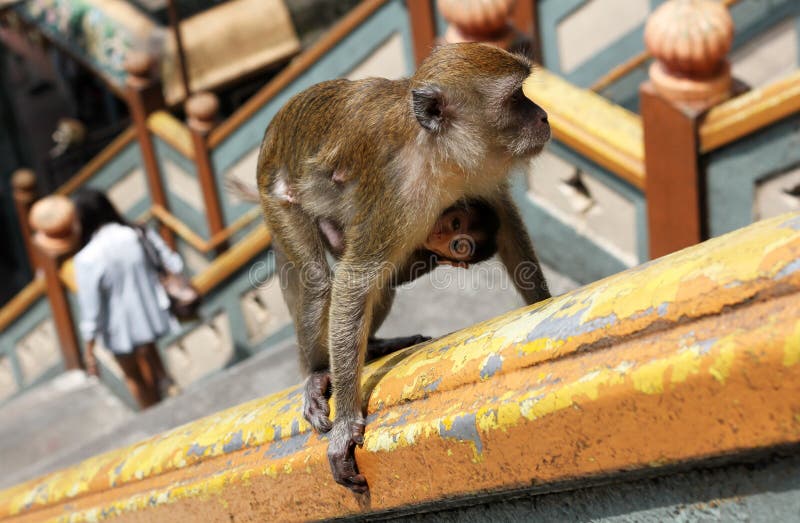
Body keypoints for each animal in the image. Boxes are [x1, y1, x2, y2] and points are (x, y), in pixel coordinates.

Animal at [257, 43, 551, 493]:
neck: (435, 153)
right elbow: (354, 282)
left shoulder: (474, 176)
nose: (543, 115)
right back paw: (316, 371)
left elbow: (505, 222)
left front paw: (543, 302)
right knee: (319, 285)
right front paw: (346, 423)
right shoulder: (395, 196)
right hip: (277, 195)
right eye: (516, 98)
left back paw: (373, 345)